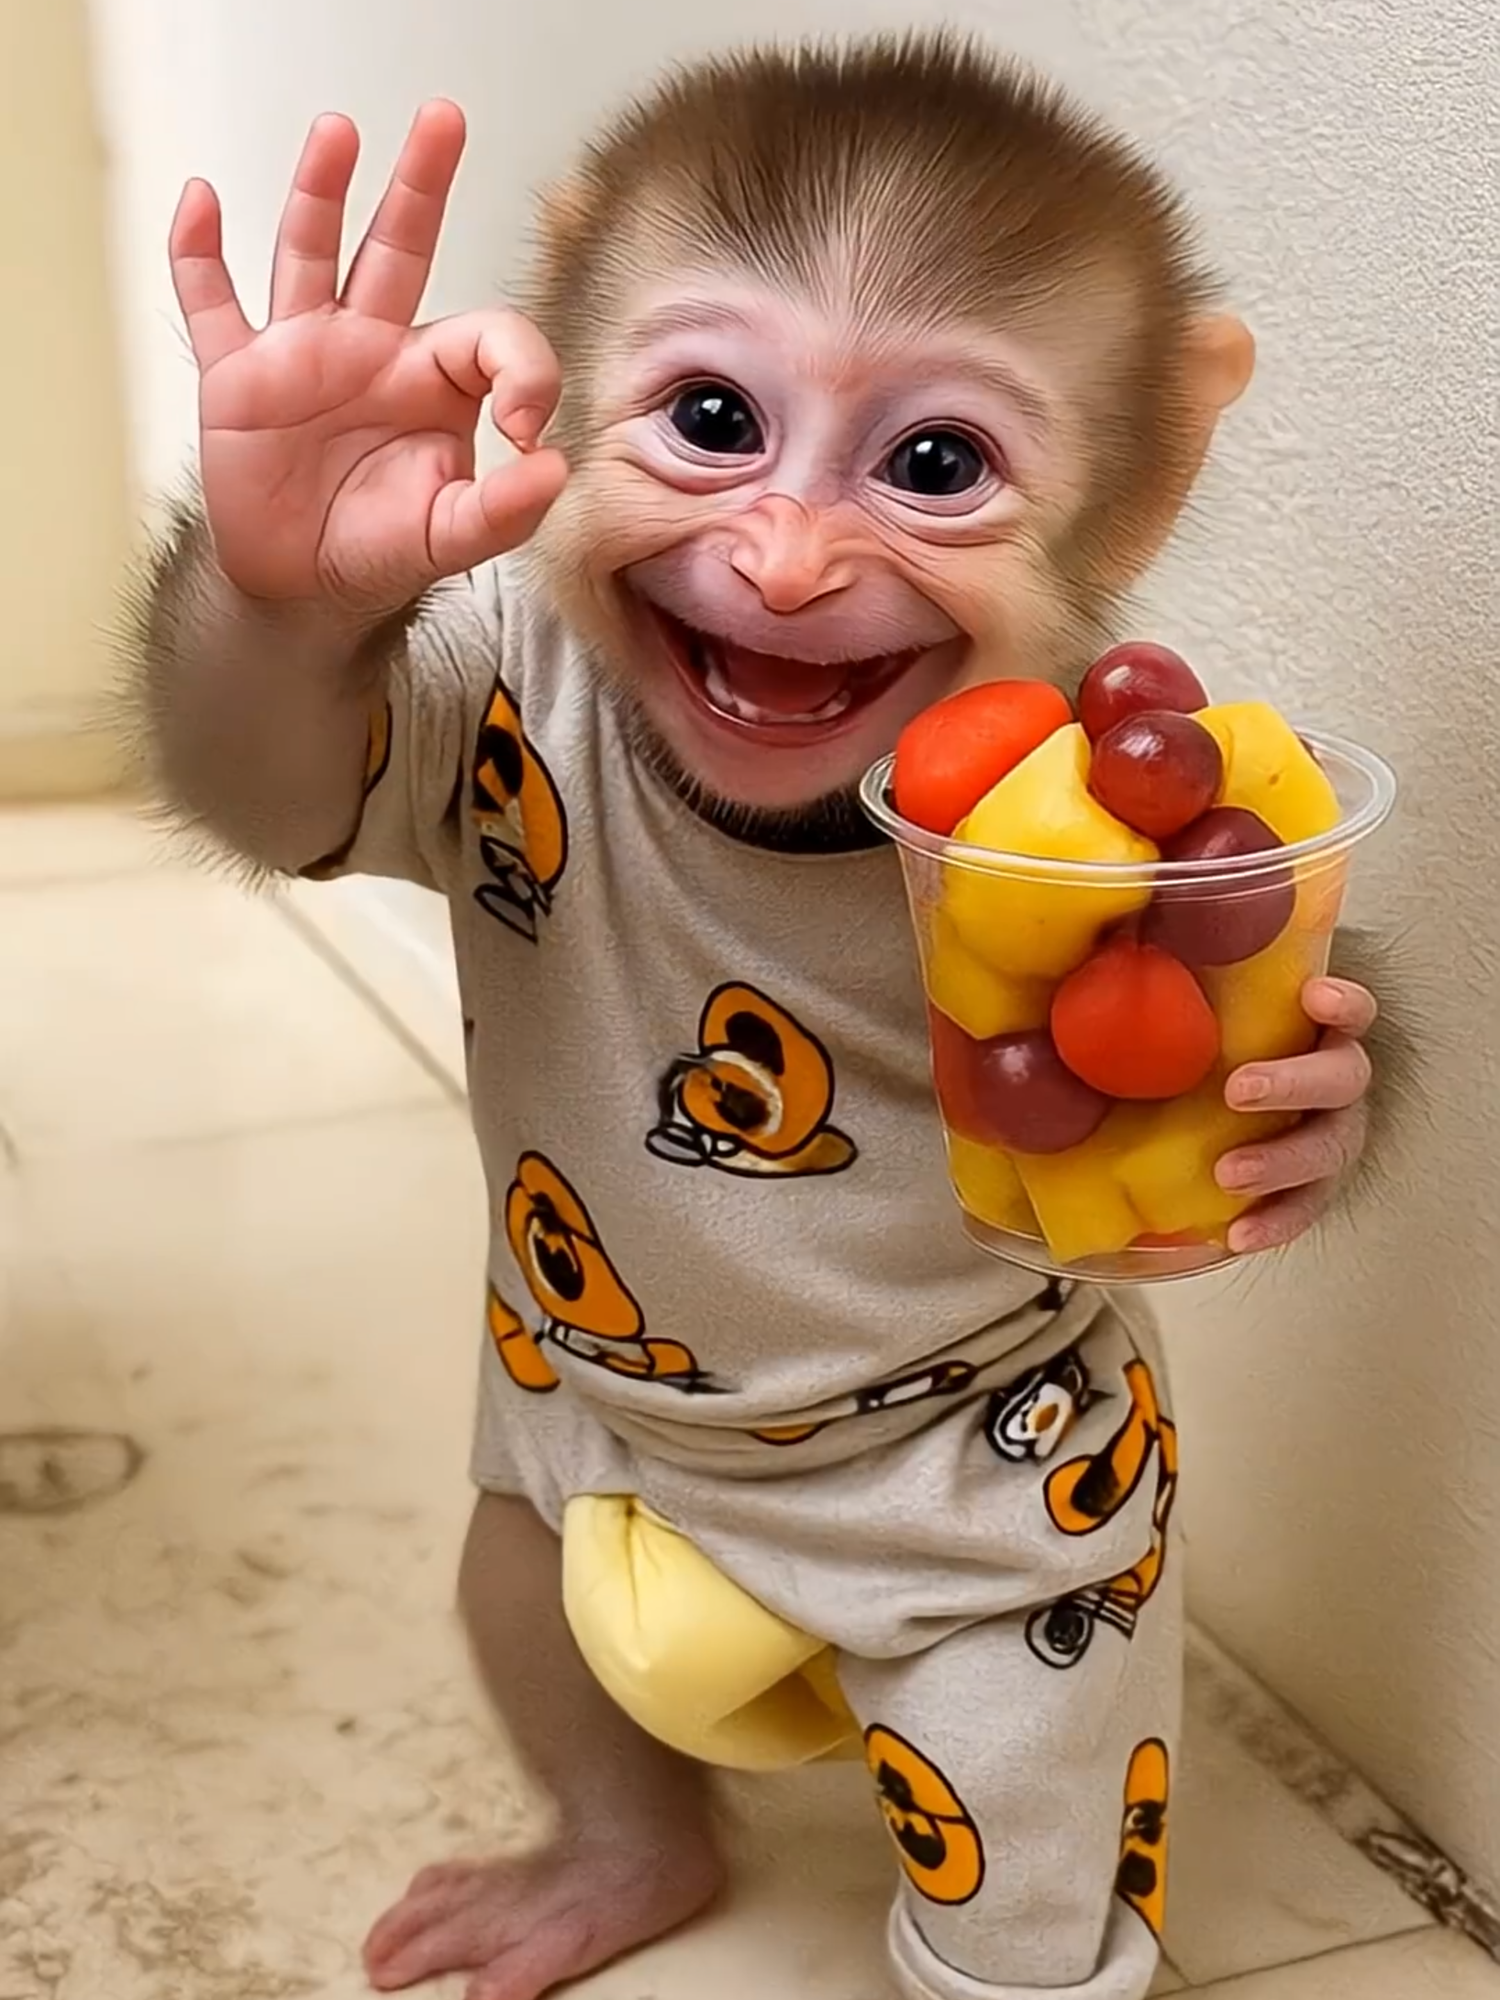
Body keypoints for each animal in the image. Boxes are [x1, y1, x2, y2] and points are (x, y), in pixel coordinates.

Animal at [125, 33, 1386, 2000]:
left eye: (934, 461)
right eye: (715, 422)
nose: (788, 568)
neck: (793, 829)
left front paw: (1313, 1103)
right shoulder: (463, 731)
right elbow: (278, 742)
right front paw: (320, 453)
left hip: (1047, 1617)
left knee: (1019, 1867)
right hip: (546, 1464)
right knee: (530, 1613)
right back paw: (610, 1874)